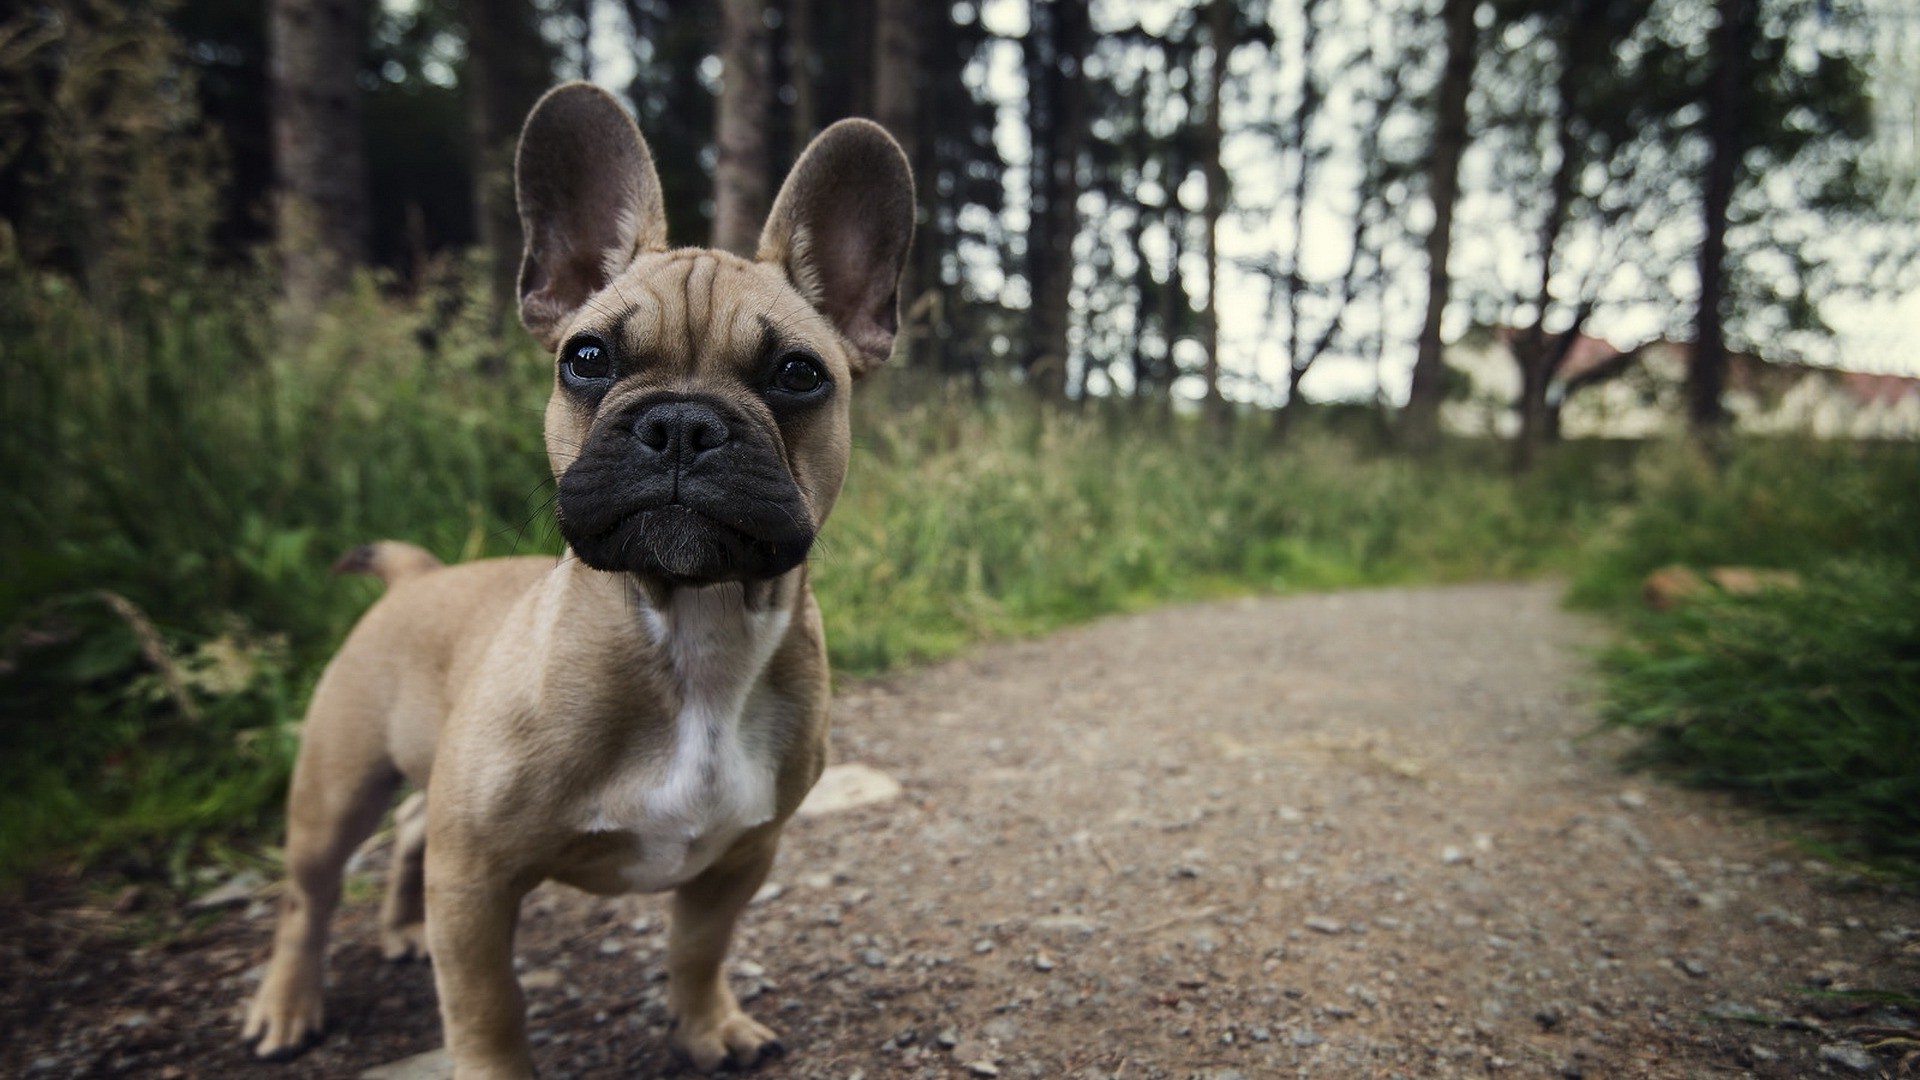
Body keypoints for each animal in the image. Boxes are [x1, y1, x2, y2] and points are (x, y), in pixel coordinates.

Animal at [240, 79, 913, 1068]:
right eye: (585, 359)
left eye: (798, 375)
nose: (682, 423)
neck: (694, 627)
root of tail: (416, 575)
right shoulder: (476, 874)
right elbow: (488, 1006)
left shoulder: (741, 856)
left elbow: (699, 948)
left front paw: (710, 1027)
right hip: (337, 787)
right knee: (308, 894)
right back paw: (287, 1006)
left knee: (405, 838)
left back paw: (400, 930)